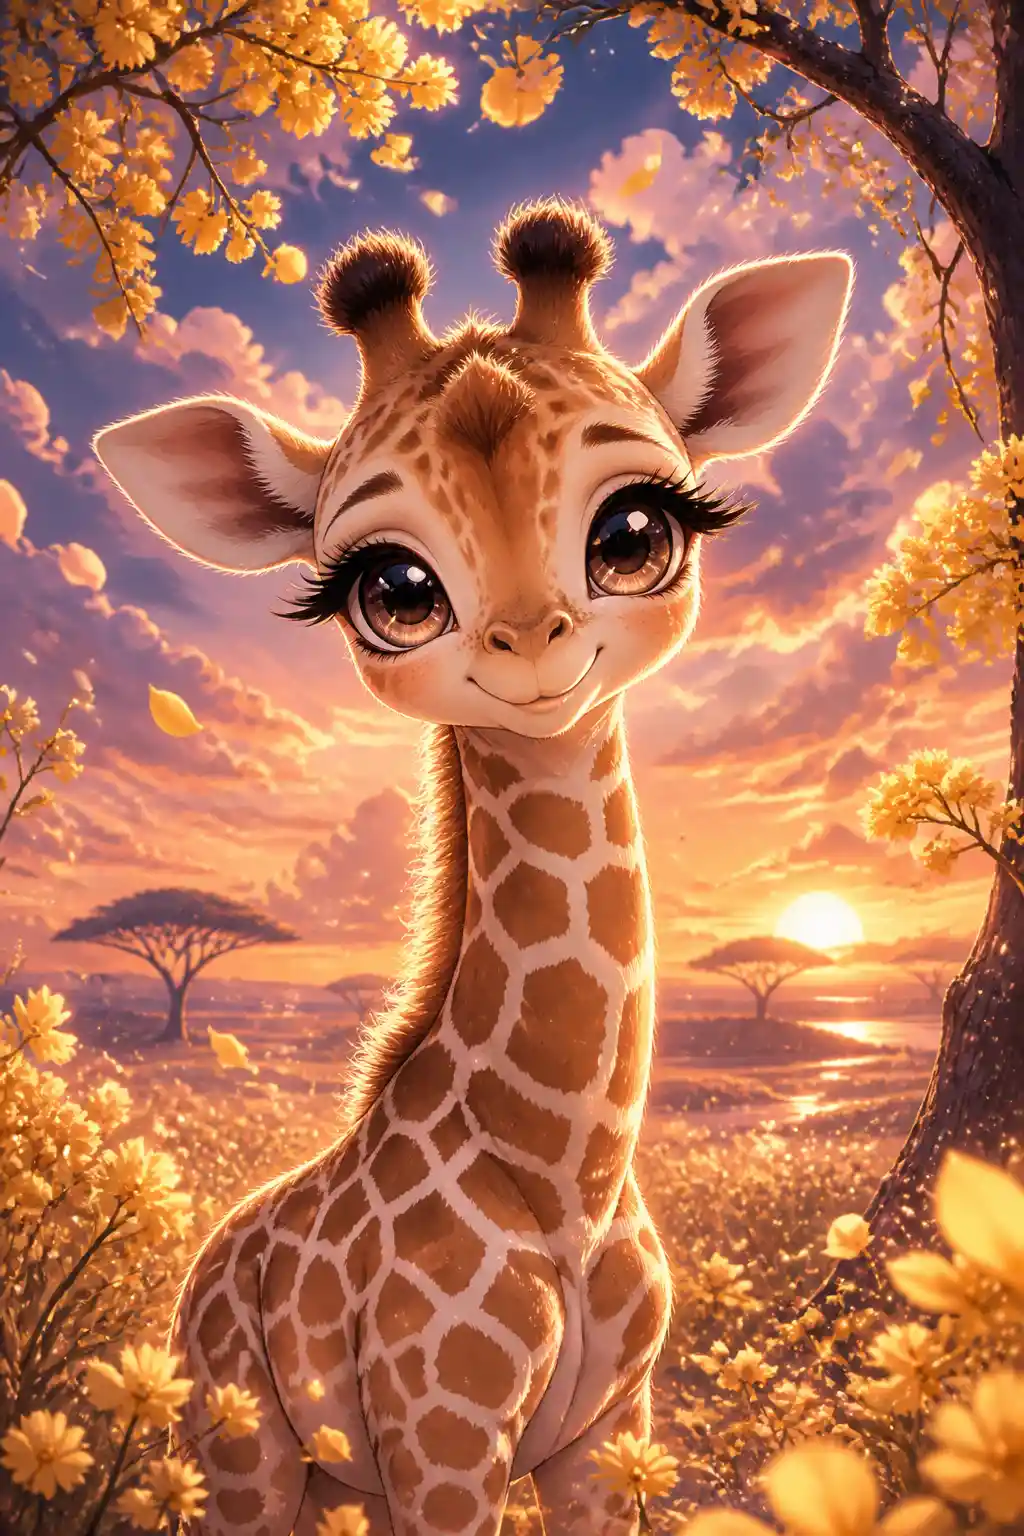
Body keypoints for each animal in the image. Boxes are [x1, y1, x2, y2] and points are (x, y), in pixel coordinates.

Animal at [93, 199, 853, 1536]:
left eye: (637, 531)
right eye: (392, 589)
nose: (531, 649)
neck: (570, 1172)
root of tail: (200, 1262)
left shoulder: (611, 1429)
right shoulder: (441, 1440)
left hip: (331, 1475)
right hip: (245, 1446)